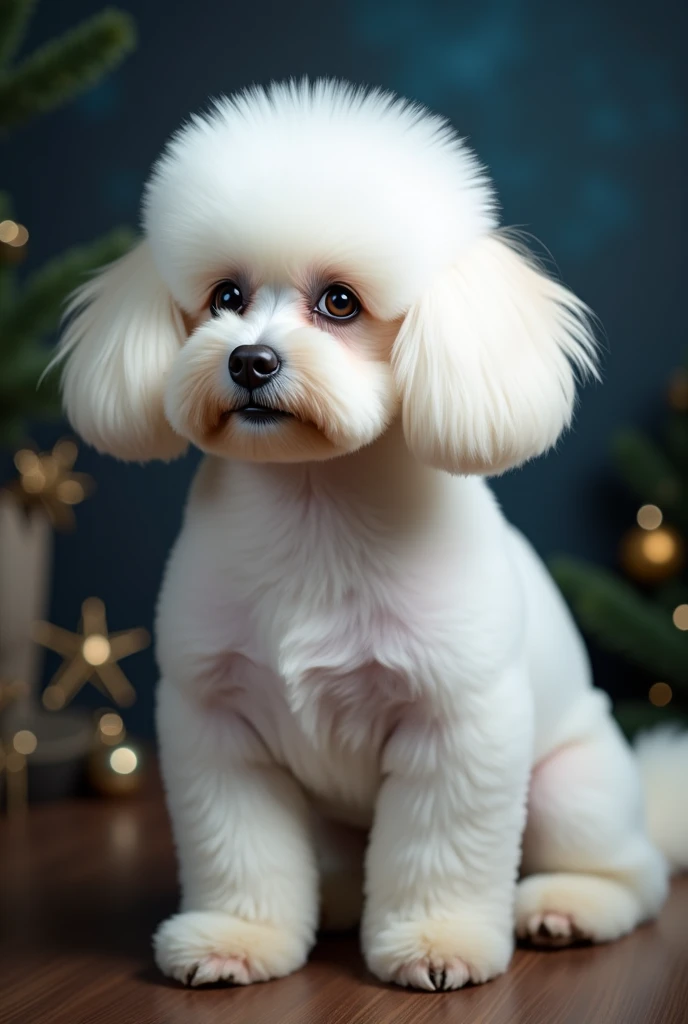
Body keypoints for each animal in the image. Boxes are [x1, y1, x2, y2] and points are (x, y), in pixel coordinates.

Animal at [56, 79, 683, 991]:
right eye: (225, 297)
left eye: (340, 303)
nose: (249, 360)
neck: (316, 506)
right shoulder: (215, 724)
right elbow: (238, 847)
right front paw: (237, 936)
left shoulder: (455, 727)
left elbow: (440, 849)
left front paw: (437, 942)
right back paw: (338, 904)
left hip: (572, 786)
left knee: (634, 873)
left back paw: (570, 904)